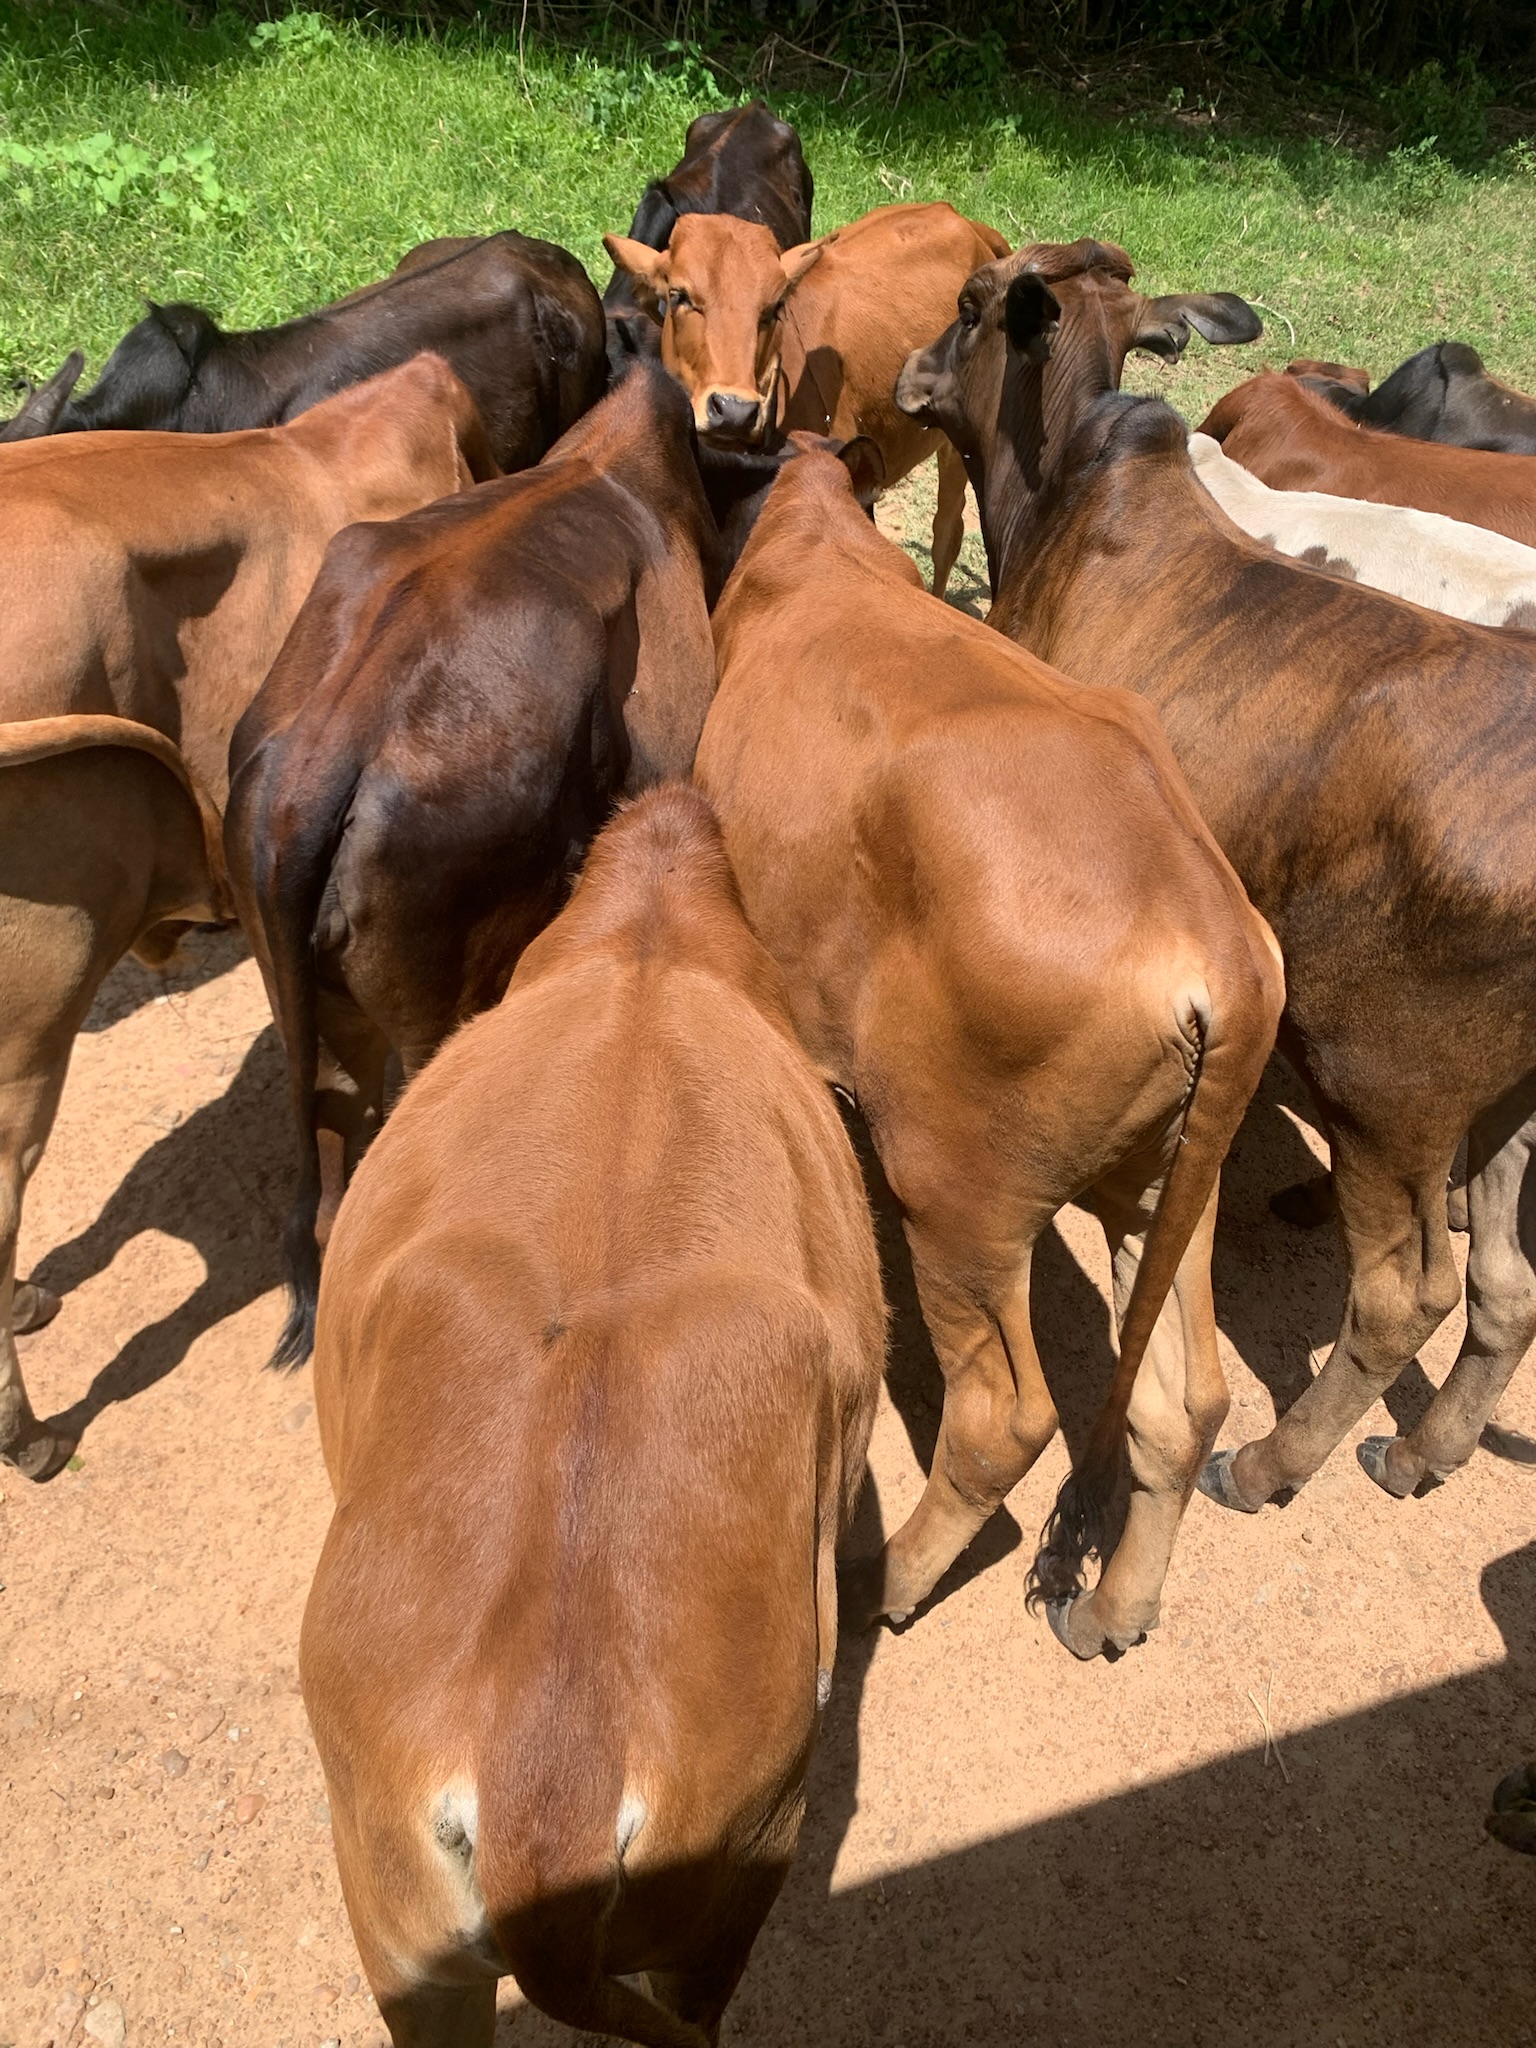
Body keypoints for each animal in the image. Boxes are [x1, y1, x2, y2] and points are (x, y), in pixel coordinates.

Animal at [693, 433, 1283, 1660]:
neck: (815, 530)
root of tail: (1218, 935)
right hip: (1163, 1188)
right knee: (1183, 1404)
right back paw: (1114, 1607)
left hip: (958, 1196)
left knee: (1004, 1416)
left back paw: (884, 1580)